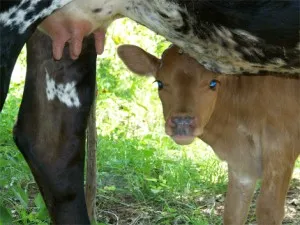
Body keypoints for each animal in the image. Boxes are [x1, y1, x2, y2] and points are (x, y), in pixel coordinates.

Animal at [118, 44, 300, 225]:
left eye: (213, 83)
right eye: (160, 83)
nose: (182, 122)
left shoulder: (281, 150)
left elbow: (268, 211)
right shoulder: (241, 164)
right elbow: (233, 212)